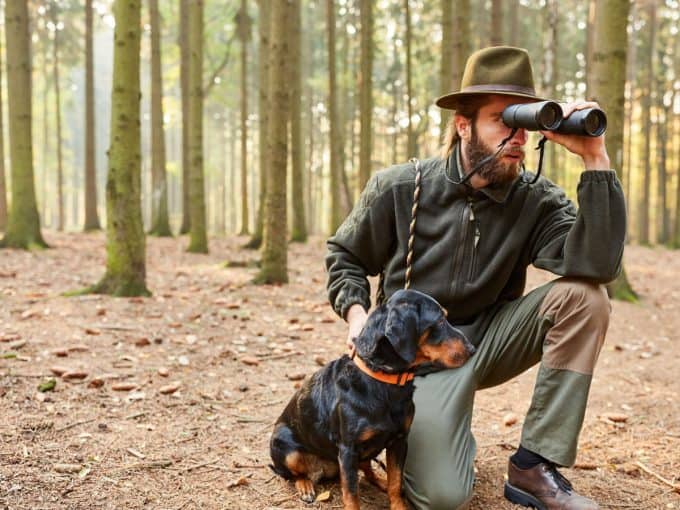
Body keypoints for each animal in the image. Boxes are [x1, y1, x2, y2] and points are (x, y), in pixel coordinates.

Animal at [268, 288, 476, 508]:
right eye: (440, 321)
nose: (472, 349)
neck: (384, 380)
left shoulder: (399, 441)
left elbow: (395, 481)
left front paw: (398, 504)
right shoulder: (348, 450)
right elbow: (351, 494)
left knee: (367, 471)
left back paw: (379, 480)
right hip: (286, 447)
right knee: (294, 473)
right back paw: (305, 486)